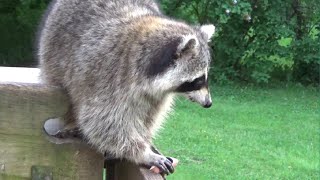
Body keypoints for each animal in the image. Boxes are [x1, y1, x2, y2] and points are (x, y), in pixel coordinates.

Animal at [38, 0, 215, 174]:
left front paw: (144, 141)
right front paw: (142, 153)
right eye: (199, 80)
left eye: (205, 78)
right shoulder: (107, 74)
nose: (208, 103)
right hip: (52, 56)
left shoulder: (157, 95)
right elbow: (102, 121)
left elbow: (148, 117)